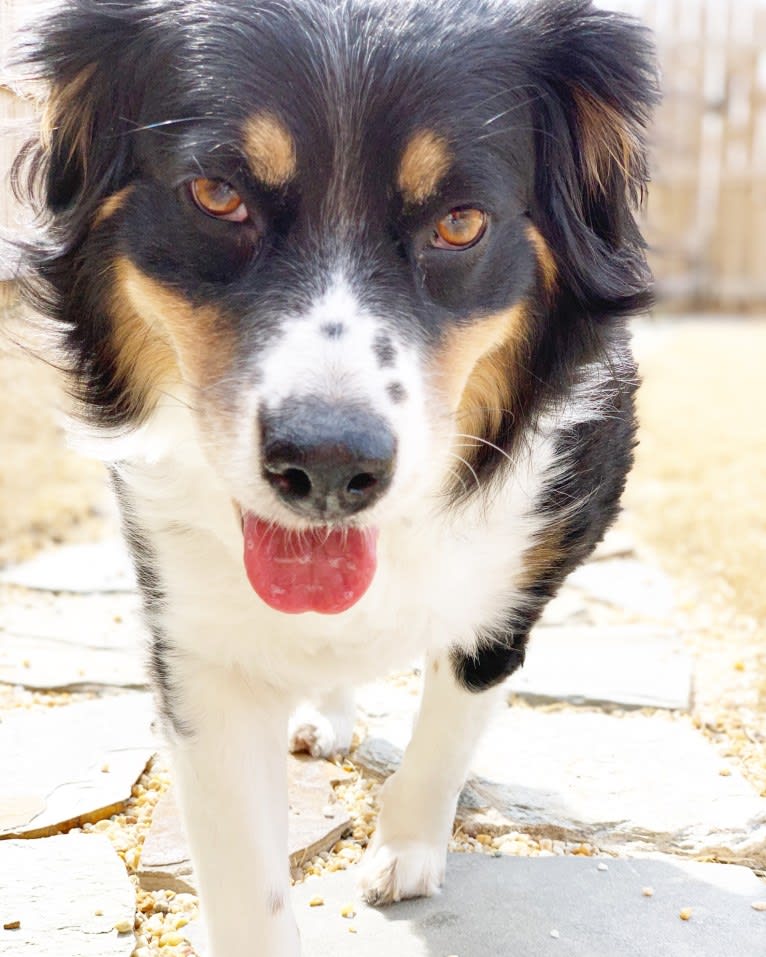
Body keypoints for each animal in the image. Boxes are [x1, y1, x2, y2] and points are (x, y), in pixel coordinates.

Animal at [12, 0, 660, 952]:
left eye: (461, 222)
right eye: (218, 195)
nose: (326, 466)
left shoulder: (515, 586)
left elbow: (452, 721)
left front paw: (407, 848)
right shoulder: (198, 644)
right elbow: (246, 880)